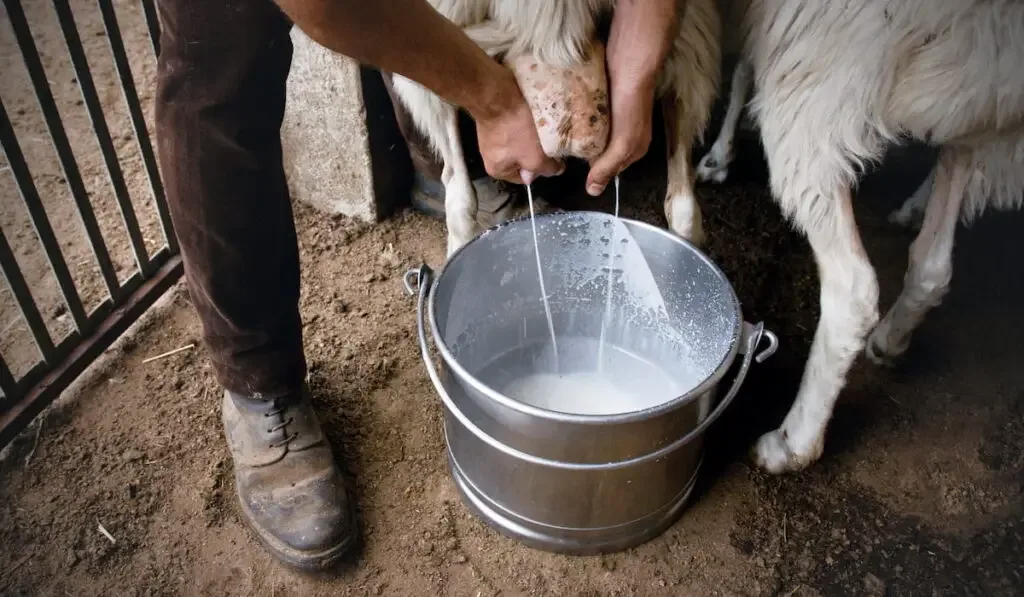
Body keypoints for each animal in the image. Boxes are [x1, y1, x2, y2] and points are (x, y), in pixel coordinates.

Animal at [720, 0, 1024, 475]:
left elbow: (738, 73)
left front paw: (716, 157)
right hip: (976, 91)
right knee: (934, 262)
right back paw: (892, 336)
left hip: (821, 70)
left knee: (853, 292)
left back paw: (793, 442)